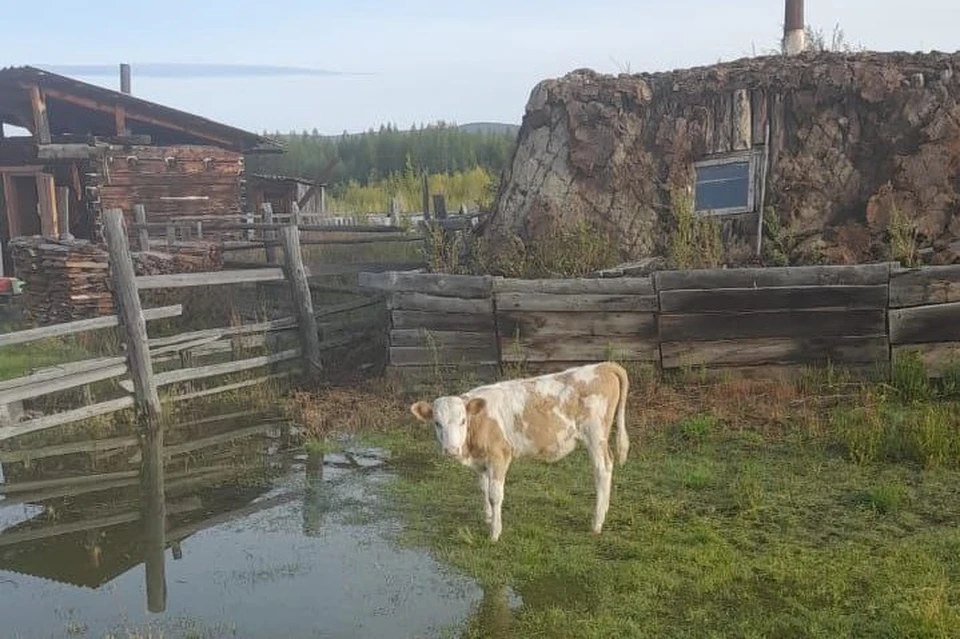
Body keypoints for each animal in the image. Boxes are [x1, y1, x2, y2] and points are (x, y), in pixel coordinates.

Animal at [410, 362, 632, 544]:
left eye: (463, 421)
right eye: (437, 423)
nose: (451, 450)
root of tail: (602, 365)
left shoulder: (499, 456)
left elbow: (495, 494)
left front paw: (494, 532)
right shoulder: (482, 461)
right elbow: (483, 488)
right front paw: (488, 517)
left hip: (595, 435)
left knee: (602, 469)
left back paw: (597, 523)